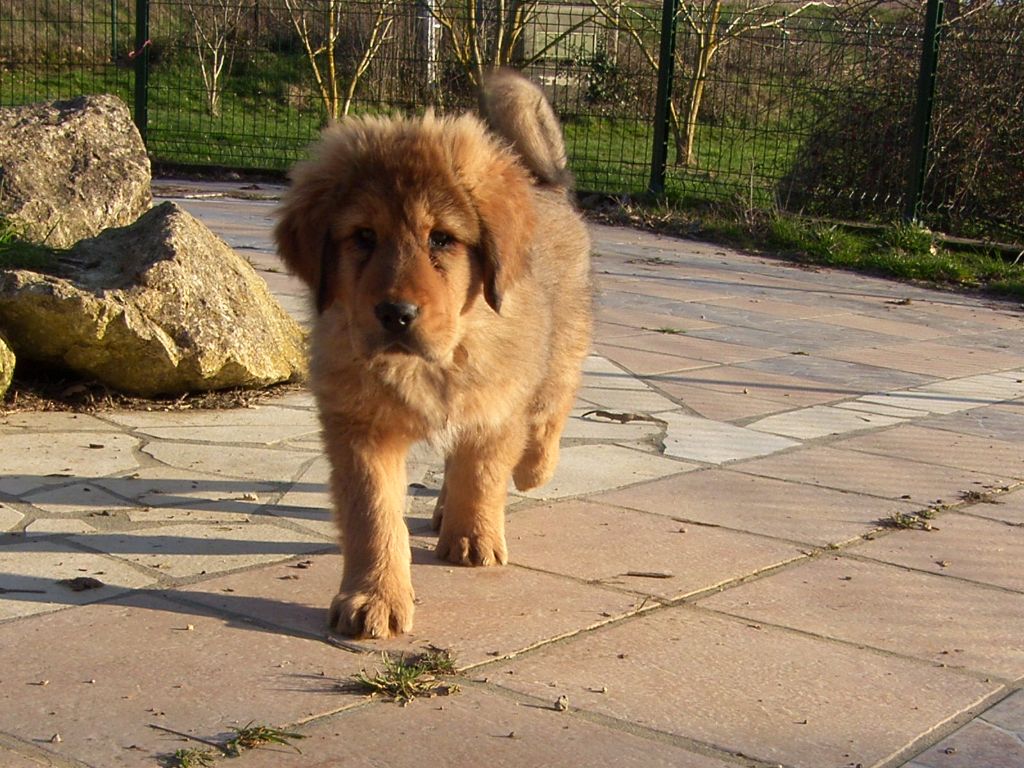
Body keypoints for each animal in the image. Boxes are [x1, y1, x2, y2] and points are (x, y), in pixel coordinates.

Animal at [274, 70, 593, 638]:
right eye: (364, 236)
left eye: (442, 239)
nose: (396, 313)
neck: (435, 360)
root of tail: (548, 186)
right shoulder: (360, 429)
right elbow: (373, 515)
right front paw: (374, 596)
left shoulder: (496, 405)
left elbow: (482, 473)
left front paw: (474, 536)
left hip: (561, 349)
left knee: (549, 413)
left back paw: (530, 470)